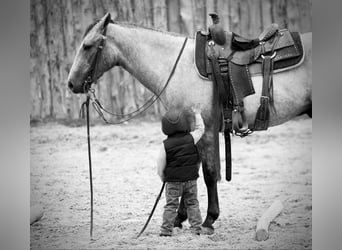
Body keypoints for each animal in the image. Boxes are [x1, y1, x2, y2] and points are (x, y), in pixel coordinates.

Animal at [67, 12, 312, 234]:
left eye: (88, 46)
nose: (71, 83)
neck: (176, 68)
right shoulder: (189, 132)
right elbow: (188, 172)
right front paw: (180, 218)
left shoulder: (206, 130)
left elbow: (208, 174)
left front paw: (208, 220)